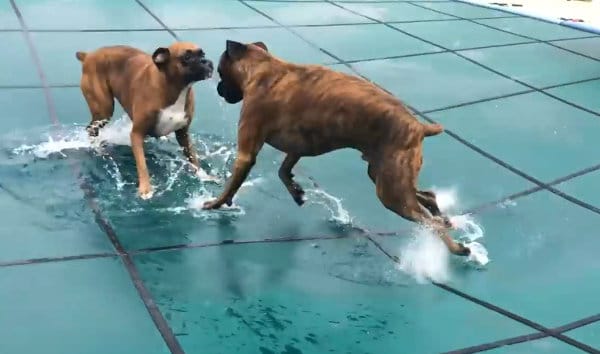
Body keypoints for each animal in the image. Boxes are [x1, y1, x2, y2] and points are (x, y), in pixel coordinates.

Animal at [76, 42, 214, 198]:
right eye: (187, 57)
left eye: (202, 54)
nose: (206, 61)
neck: (175, 88)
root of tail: (88, 55)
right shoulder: (136, 134)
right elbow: (142, 165)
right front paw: (146, 189)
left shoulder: (183, 134)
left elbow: (193, 157)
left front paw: (203, 175)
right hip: (104, 110)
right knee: (91, 129)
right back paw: (97, 148)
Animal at [204, 40, 472, 258]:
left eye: (220, 71)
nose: (218, 89)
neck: (266, 70)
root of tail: (418, 127)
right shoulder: (298, 146)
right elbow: (283, 171)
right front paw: (296, 191)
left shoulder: (247, 154)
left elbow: (231, 185)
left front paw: (215, 204)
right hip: (387, 178)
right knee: (428, 197)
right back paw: (444, 218)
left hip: (390, 192)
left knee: (428, 221)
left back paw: (457, 248)